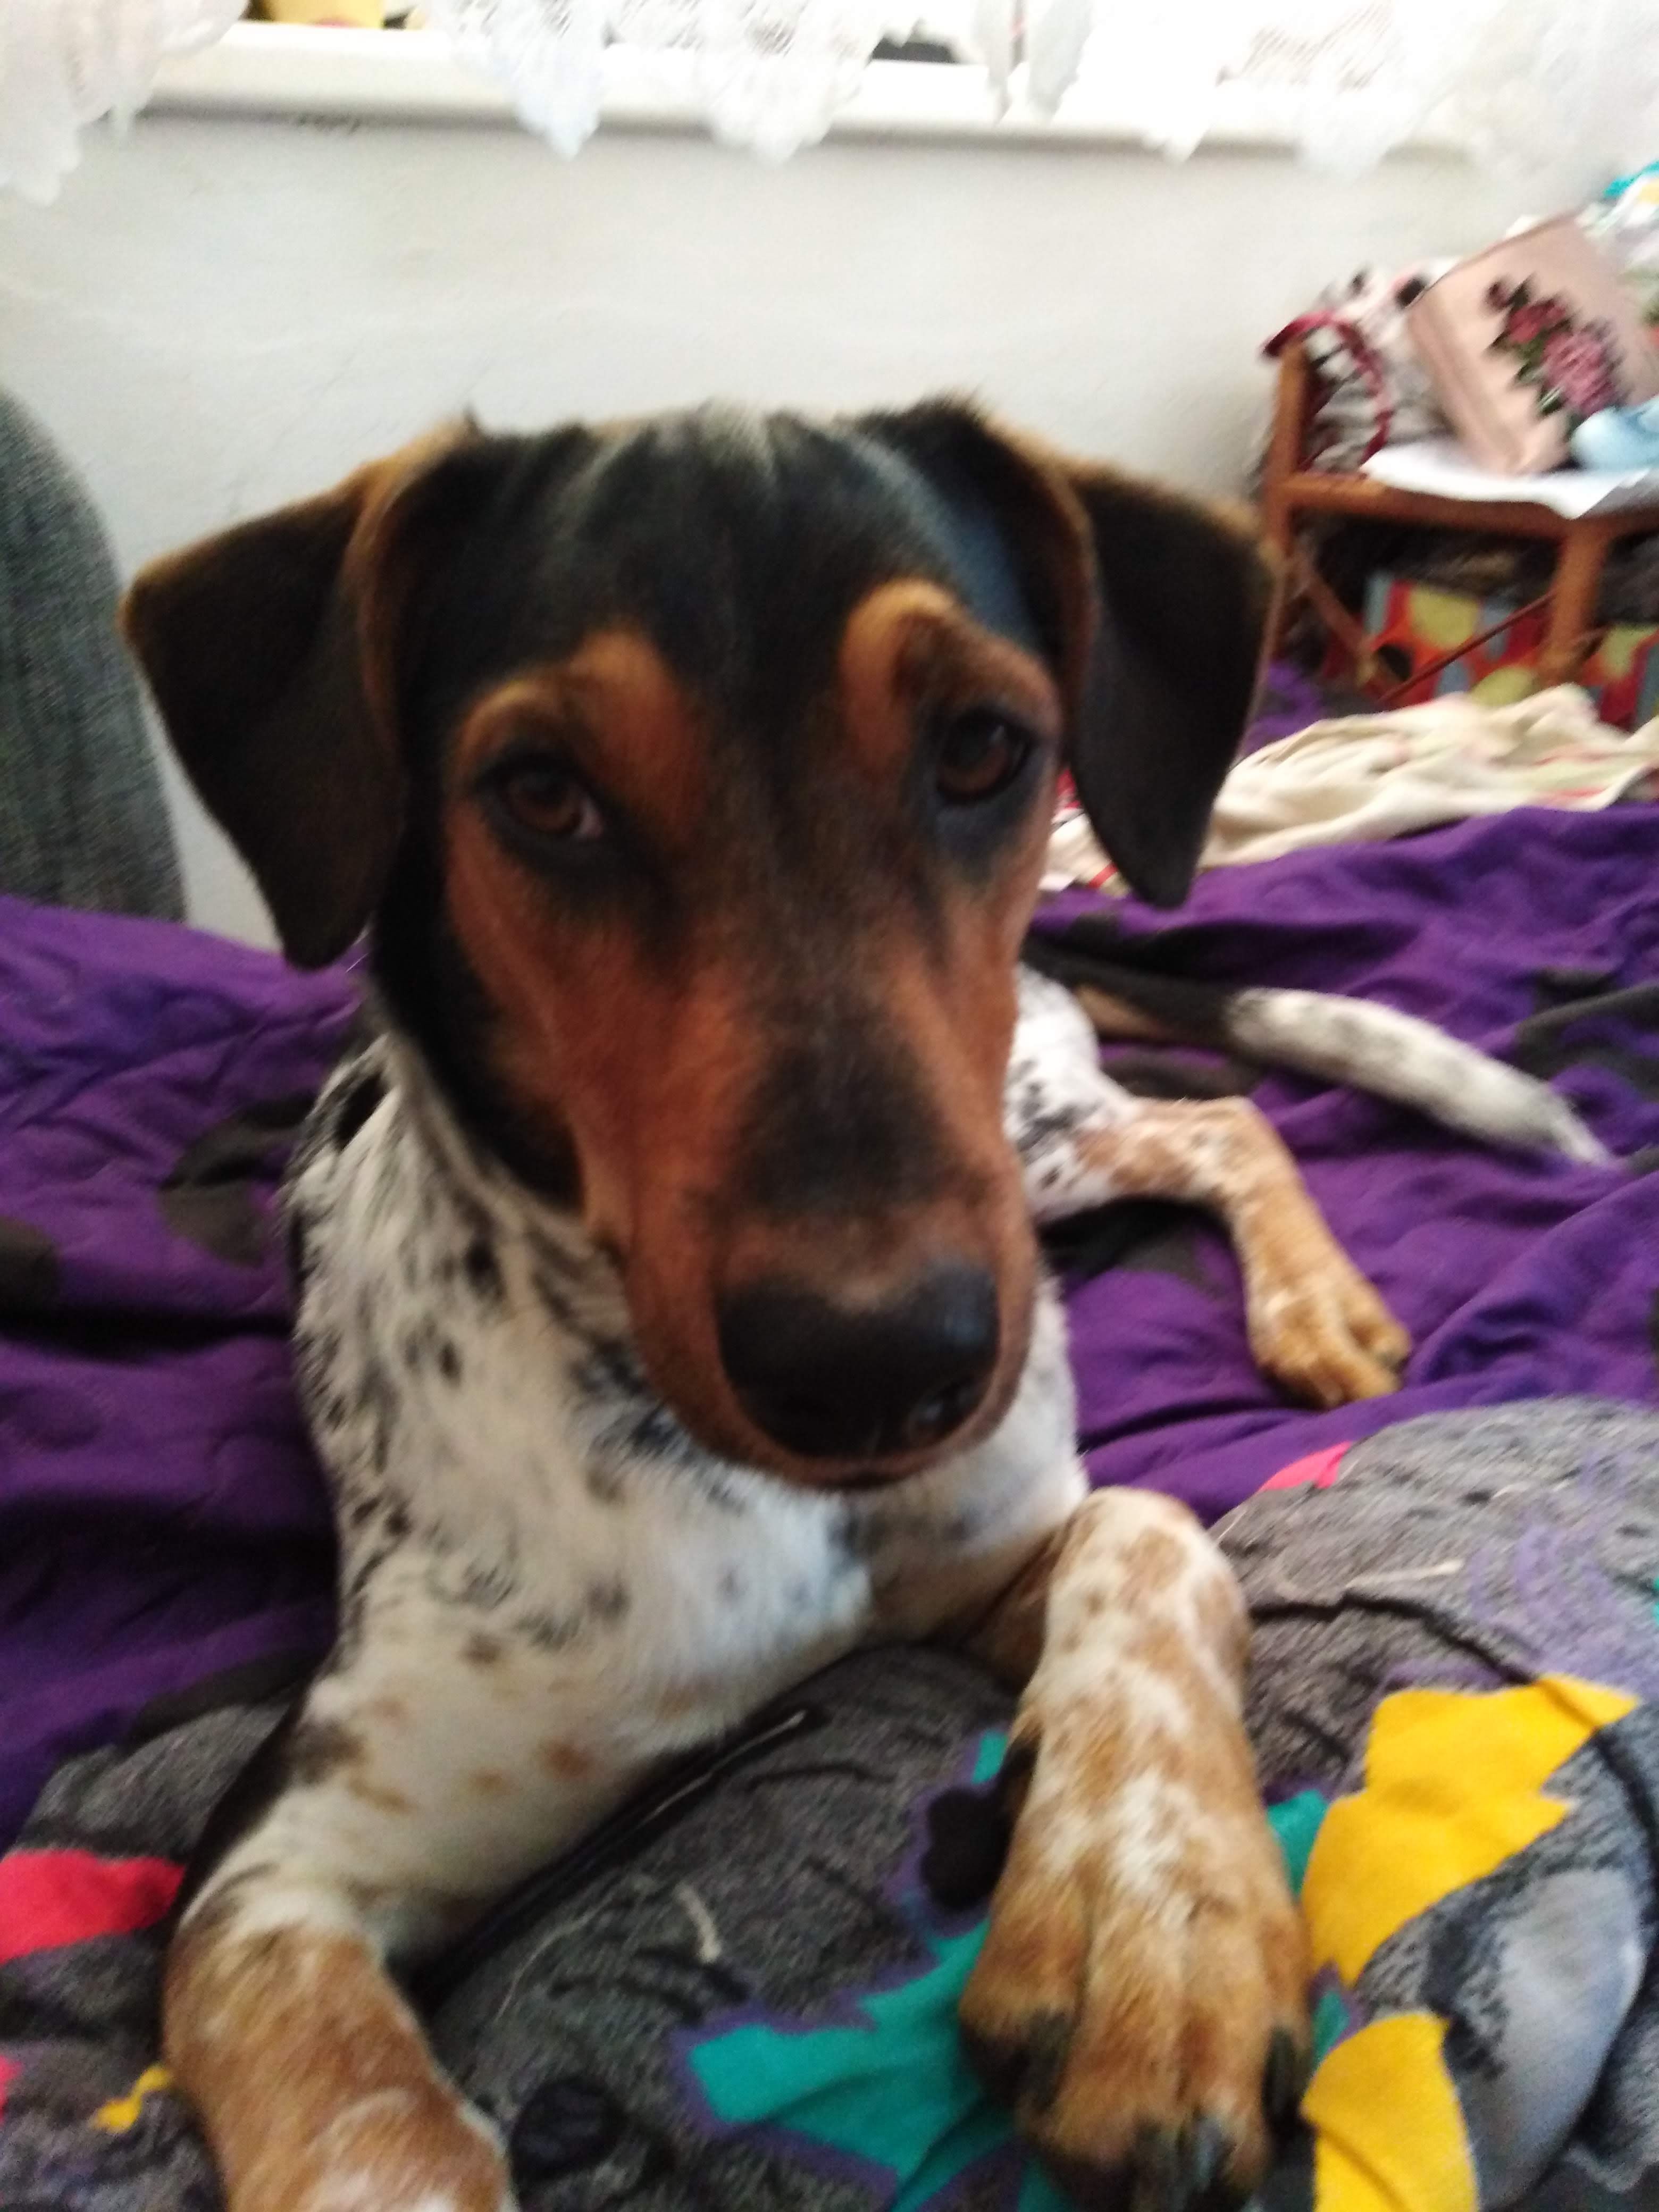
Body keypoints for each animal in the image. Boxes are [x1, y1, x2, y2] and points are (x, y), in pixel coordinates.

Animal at [123, 399, 1602, 2212]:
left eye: (981, 749)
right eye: (540, 794)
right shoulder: (277, 1861)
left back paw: (1313, 1307)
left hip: (1025, 1140)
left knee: (1217, 1124)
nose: (883, 1370)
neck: (737, 1485)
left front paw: (1153, 1919)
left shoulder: (989, 1539)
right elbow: (360, 2124)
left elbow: (1149, 1538)